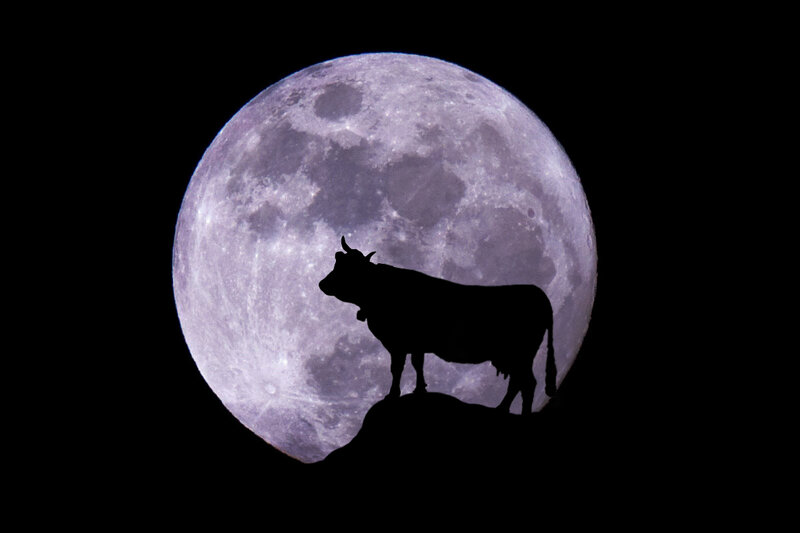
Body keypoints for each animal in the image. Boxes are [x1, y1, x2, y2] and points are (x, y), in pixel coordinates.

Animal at [319, 236, 557, 415]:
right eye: (337, 263)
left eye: (348, 269)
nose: (322, 284)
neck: (379, 291)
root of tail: (537, 292)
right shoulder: (416, 345)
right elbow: (418, 364)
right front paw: (420, 390)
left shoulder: (397, 345)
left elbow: (397, 369)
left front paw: (392, 395)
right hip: (513, 357)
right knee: (518, 383)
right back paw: (501, 409)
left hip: (520, 355)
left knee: (527, 383)